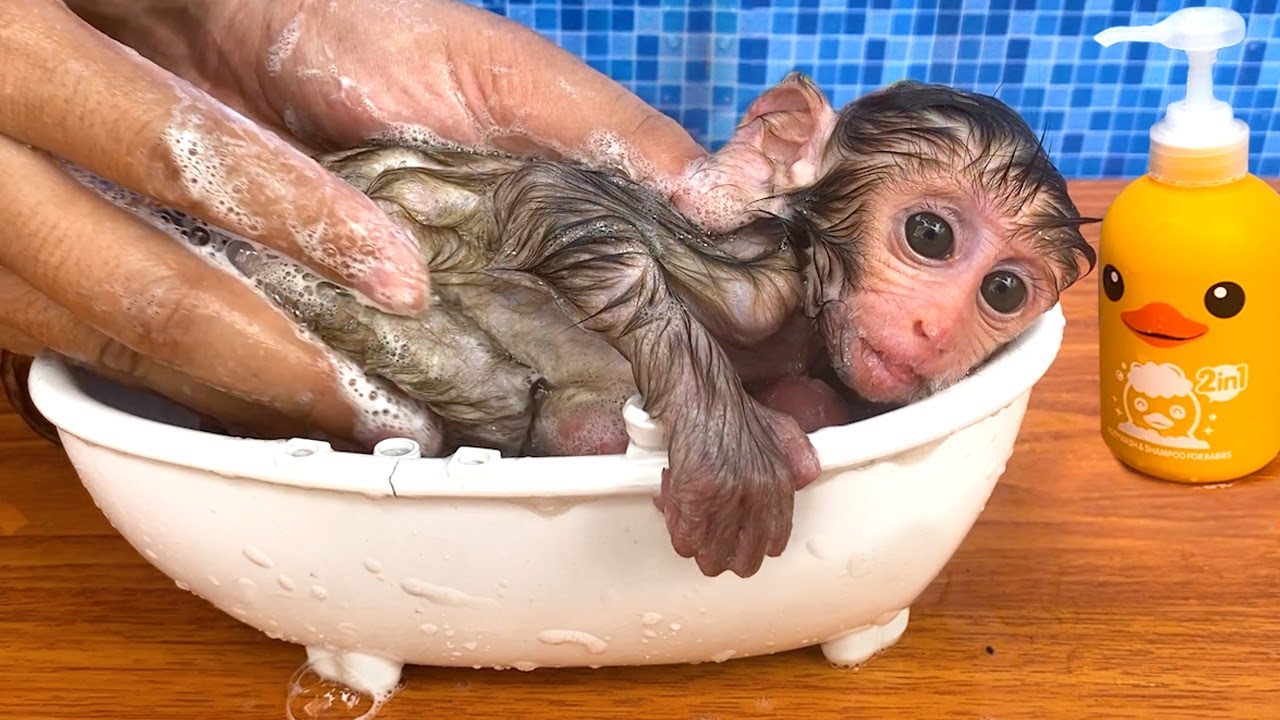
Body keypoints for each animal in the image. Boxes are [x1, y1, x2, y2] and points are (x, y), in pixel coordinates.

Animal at [68, 75, 1097, 580]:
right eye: (930, 234)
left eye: (1005, 290)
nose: (935, 326)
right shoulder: (756, 277)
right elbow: (553, 204)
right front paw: (725, 436)